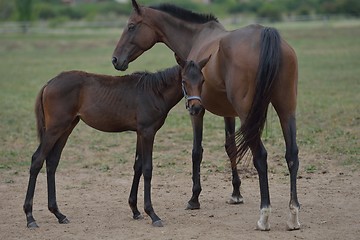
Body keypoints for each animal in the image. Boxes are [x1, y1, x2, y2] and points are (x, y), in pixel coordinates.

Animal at [23, 59, 208, 228]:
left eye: (202, 81)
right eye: (184, 81)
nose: (196, 108)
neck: (154, 92)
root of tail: (50, 83)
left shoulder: (140, 133)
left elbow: (138, 166)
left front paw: (135, 210)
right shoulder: (148, 132)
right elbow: (147, 169)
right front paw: (152, 214)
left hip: (67, 127)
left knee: (52, 162)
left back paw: (58, 214)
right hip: (55, 128)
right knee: (37, 160)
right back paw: (30, 217)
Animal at [112, 0, 300, 232]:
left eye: (131, 26)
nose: (115, 59)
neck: (196, 37)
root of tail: (267, 34)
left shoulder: (196, 110)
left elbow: (196, 151)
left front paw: (194, 198)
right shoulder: (229, 114)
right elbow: (231, 149)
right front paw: (236, 194)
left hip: (250, 116)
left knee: (261, 157)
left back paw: (264, 215)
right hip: (286, 110)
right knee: (292, 155)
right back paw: (293, 214)